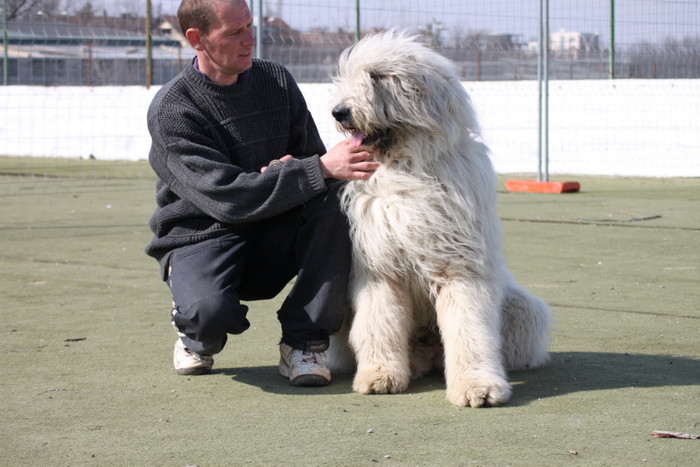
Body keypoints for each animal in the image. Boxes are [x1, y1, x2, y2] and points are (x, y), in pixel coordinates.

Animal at [328, 31, 552, 408]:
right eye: (348, 74)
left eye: (377, 76)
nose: (339, 112)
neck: (407, 166)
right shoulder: (379, 269)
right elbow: (378, 322)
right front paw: (379, 375)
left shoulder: (459, 266)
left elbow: (469, 328)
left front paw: (478, 387)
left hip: (523, 308)